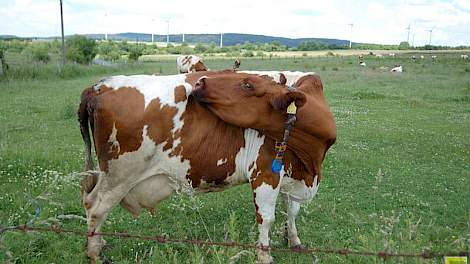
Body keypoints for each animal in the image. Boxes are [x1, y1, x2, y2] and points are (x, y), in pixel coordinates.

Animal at [79, 70, 336, 264]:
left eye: (248, 84)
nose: (201, 81)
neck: (310, 159)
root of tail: (99, 86)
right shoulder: (265, 173)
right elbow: (266, 218)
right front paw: (265, 257)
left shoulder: (292, 174)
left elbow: (291, 210)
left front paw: (294, 240)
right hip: (119, 175)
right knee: (95, 207)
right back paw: (95, 254)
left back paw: (101, 243)